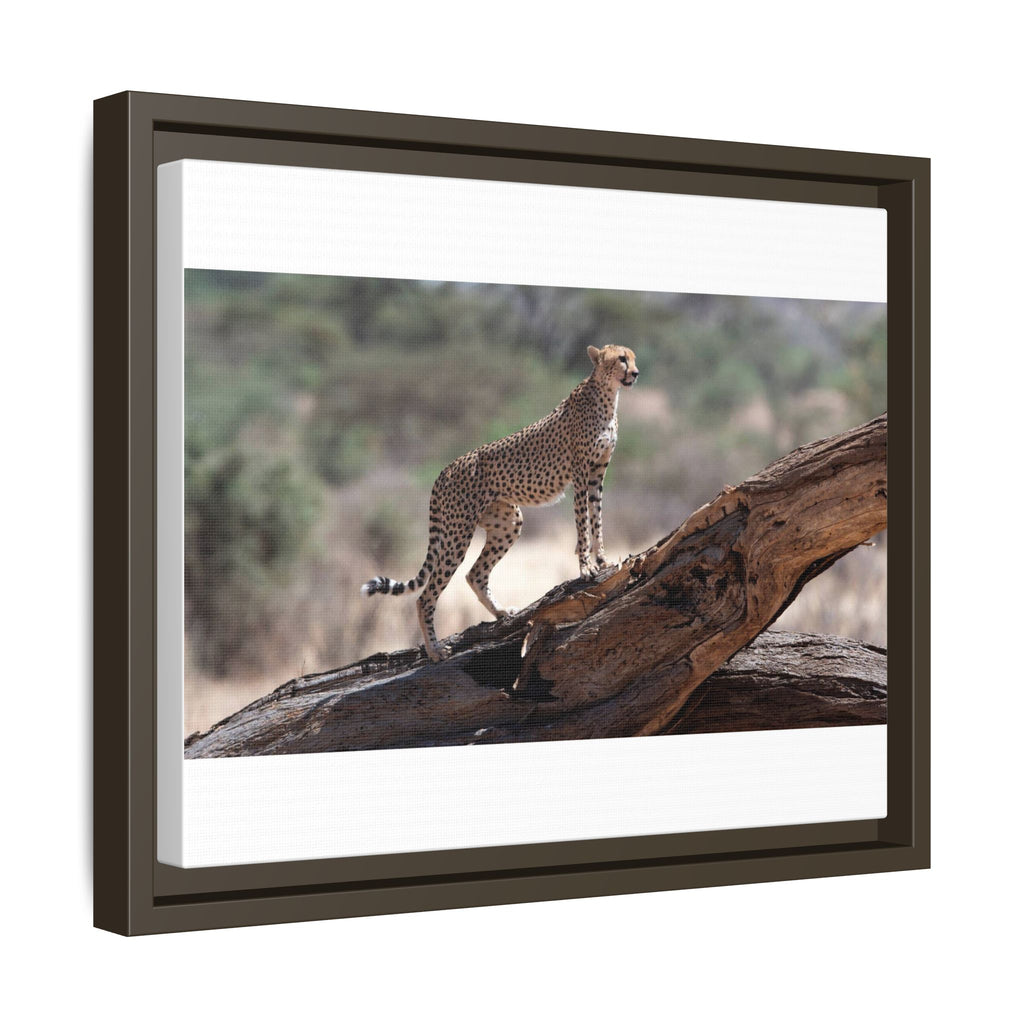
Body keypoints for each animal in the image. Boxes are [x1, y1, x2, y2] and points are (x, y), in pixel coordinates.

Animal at [362, 344, 639, 661]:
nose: (635, 373)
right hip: (457, 533)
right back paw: (435, 651)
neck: (607, 395)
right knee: (426, 595)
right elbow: (583, 523)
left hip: (507, 522)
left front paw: (603, 559)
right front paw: (586, 567)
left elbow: (597, 518)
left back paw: (502, 613)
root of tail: (446, 469)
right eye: (621, 359)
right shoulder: (581, 474)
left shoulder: (597, 475)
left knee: (475, 574)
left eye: (633, 358)